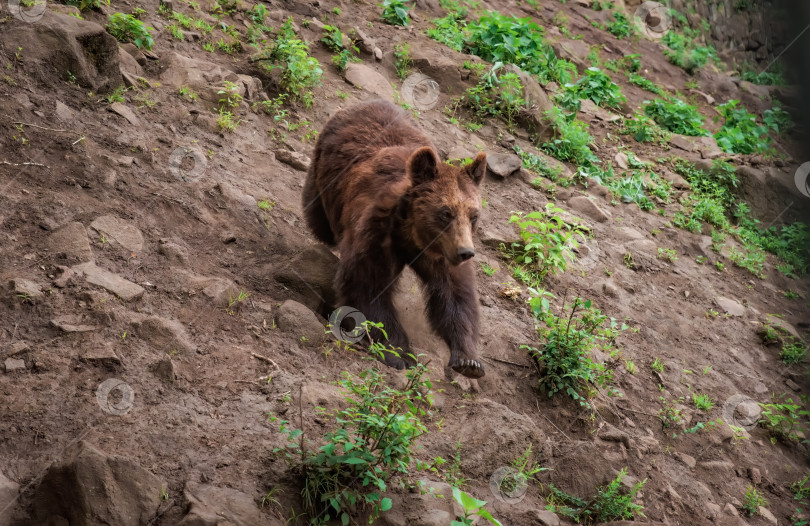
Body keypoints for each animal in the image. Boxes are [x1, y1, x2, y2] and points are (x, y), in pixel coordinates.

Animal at [298, 99, 482, 380]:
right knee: (319, 218)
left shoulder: (442, 253)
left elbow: (456, 295)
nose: (466, 252)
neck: (413, 235)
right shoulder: (378, 235)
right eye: (445, 212)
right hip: (325, 176)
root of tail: (365, 102)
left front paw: (469, 360)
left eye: (474, 215)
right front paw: (400, 353)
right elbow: (369, 287)